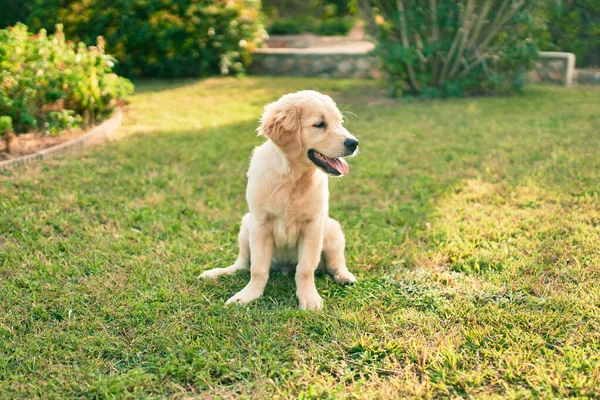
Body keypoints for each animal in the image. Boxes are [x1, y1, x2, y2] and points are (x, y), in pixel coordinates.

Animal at [202, 90, 358, 310]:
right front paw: (248, 295)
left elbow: (305, 268)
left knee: (335, 263)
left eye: (339, 121)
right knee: (242, 264)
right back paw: (218, 272)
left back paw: (344, 277)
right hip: (246, 225)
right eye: (320, 124)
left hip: (332, 229)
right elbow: (258, 269)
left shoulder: (313, 225)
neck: (293, 177)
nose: (354, 143)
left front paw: (309, 299)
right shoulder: (260, 224)